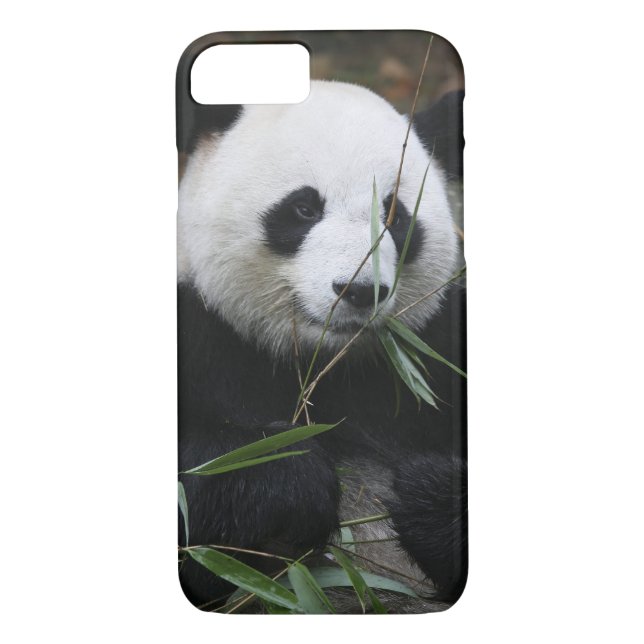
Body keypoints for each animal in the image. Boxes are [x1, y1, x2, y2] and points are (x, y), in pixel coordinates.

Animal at [177, 80, 466, 613]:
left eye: (393, 215)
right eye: (304, 208)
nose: (359, 290)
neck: (324, 367)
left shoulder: (433, 356)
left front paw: (424, 491)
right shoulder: (203, 338)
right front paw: (290, 476)